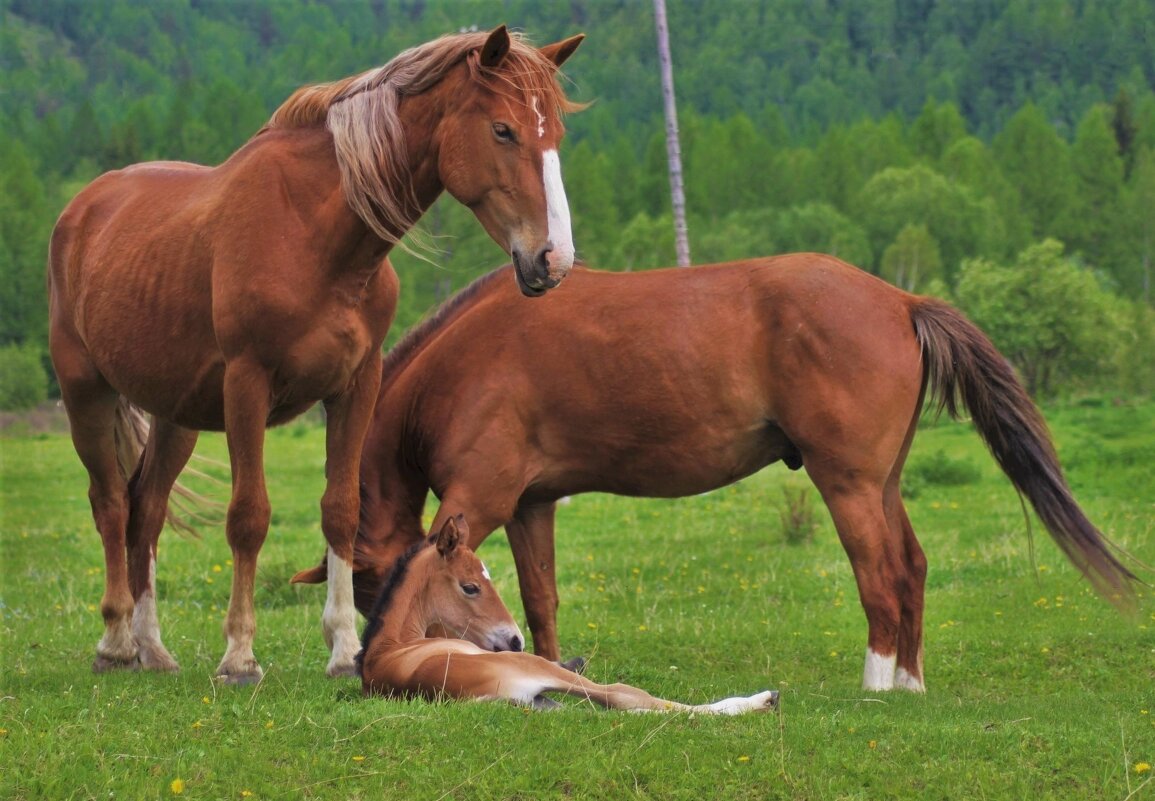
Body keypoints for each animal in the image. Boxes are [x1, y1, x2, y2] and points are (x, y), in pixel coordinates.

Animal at [47, 28, 586, 687]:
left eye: (555, 135)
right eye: (504, 130)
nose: (553, 259)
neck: (313, 236)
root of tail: (83, 208)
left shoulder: (355, 386)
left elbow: (339, 511)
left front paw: (343, 648)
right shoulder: (247, 385)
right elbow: (249, 516)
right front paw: (239, 656)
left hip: (177, 415)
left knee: (145, 512)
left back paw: (153, 648)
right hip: (85, 393)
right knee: (110, 504)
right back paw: (117, 642)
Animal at [295, 260, 1136, 692]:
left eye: (369, 589)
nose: (368, 663)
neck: (469, 358)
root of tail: (898, 297)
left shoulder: (482, 498)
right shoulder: (532, 503)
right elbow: (539, 598)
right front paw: (548, 659)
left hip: (848, 485)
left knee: (883, 573)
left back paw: (876, 683)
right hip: (883, 482)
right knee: (915, 565)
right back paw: (909, 682)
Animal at [355, 517, 780, 720]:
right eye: (471, 586)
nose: (515, 640)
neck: (392, 645)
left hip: (546, 703)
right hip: (538, 671)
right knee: (624, 696)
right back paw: (761, 701)